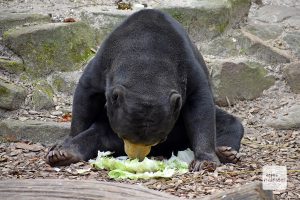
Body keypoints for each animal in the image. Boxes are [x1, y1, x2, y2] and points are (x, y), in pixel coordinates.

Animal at [47, 9, 244, 171]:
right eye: (123, 135)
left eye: (160, 138)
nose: (138, 157)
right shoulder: (103, 63)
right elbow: (86, 95)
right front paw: (63, 143)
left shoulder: (189, 69)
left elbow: (201, 106)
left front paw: (205, 162)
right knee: (97, 134)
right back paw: (61, 154)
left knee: (230, 123)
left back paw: (226, 152)